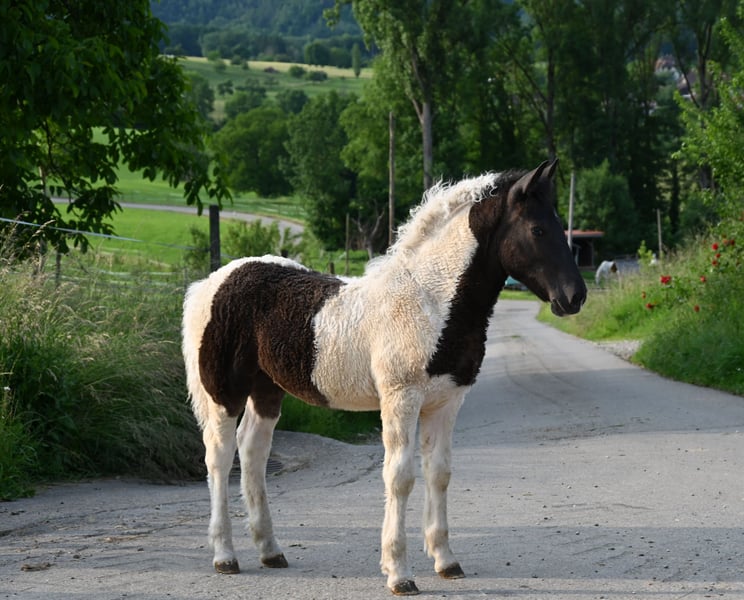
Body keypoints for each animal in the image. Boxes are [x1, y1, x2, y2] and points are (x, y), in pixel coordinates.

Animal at [181, 159, 586, 596]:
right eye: (538, 229)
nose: (574, 296)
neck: (431, 300)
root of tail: (210, 282)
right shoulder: (401, 398)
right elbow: (400, 477)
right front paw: (399, 573)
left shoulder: (447, 402)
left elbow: (439, 473)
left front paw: (446, 561)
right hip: (224, 391)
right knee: (220, 457)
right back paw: (225, 555)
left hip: (267, 391)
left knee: (253, 452)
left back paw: (270, 550)